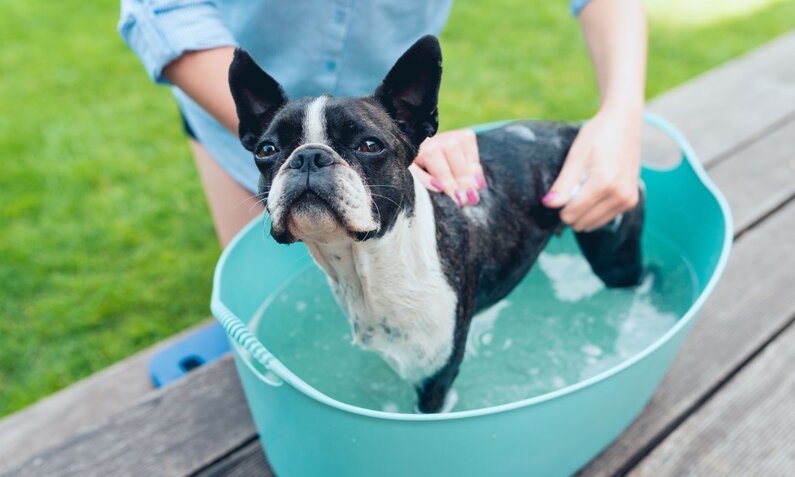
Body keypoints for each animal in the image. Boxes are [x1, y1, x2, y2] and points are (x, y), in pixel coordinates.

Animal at [227, 34, 644, 412]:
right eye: (267, 150)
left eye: (370, 145)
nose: (308, 156)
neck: (369, 264)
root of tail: (575, 131)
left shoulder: (435, 379)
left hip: (613, 255)